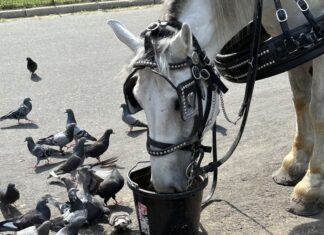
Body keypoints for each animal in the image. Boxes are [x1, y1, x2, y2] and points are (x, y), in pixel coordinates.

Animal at [109, 0, 324, 216]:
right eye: (136, 99)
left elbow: (317, 110)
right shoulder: (292, 48)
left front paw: (311, 185)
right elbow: (300, 100)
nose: (163, 186)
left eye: (183, 101)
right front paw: (295, 163)